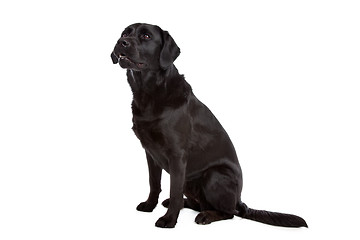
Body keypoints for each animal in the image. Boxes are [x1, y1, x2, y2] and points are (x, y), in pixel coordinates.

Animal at [109, 23, 306, 228]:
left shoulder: (177, 155)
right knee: (198, 204)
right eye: (125, 33)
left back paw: (206, 216)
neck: (149, 92)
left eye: (146, 36)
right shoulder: (150, 153)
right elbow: (154, 183)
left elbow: (174, 190)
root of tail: (240, 201)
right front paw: (150, 205)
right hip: (190, 180)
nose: (121, 42)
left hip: (213, 175)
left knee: (229, 212)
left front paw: (169, 220)